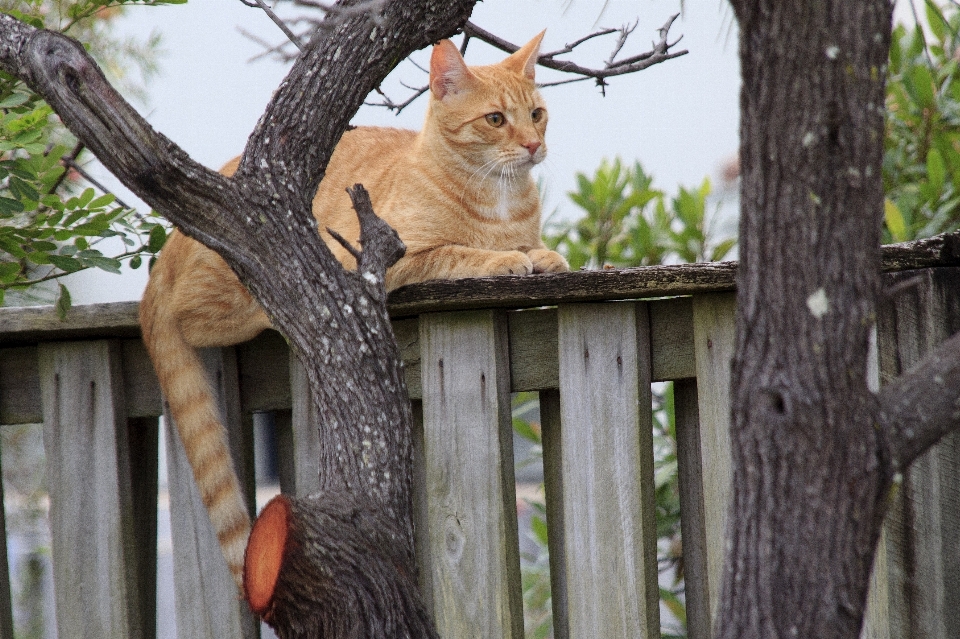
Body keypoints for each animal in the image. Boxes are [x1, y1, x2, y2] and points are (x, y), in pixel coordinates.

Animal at [139, 31, 568, 592]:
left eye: (537, 114)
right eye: (496, 119)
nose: (534, 145)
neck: (499, 195)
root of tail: (165, 254)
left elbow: (535, 248)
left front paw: (545, 255)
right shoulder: (389, 258)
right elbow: (461, 253)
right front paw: (506, 258)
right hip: (239, 283)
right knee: (195, 315)